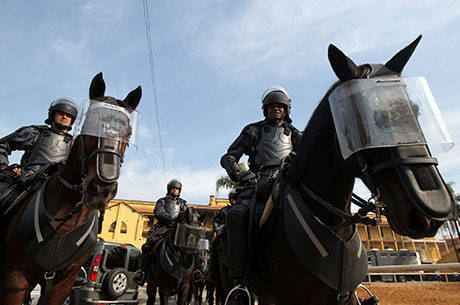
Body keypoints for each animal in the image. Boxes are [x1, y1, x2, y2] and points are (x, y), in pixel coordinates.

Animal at [0, 72, 141, 304]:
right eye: (90, 123)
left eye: (128, 133)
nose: (101, 189)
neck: (67, 219)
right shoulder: (14, 278)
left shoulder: (65, 280)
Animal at [218, 35, 452, 304]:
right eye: (360, 115)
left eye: (416, 111)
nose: (432, 208)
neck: (333, 222)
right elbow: (230, 155)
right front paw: (247, 175)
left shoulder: (344, 295)